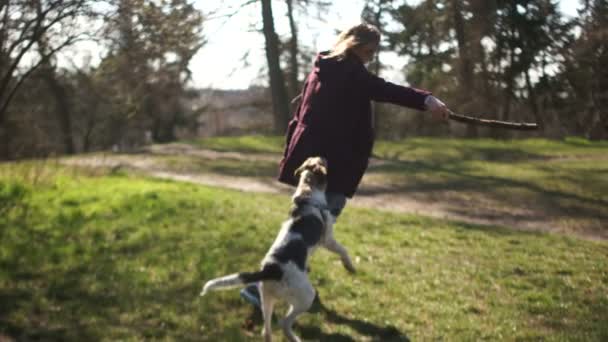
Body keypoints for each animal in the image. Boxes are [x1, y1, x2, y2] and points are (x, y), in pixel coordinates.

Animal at [201, 156, 352, 340]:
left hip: (267, 299)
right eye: (320, 161)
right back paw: (294, 337)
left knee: (267, 331)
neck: (307, 193)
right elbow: (343, 250)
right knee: (284, 323)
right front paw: (350, 267)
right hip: (305, 297)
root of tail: (270, 270)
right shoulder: (328, 239)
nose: (324, 157)